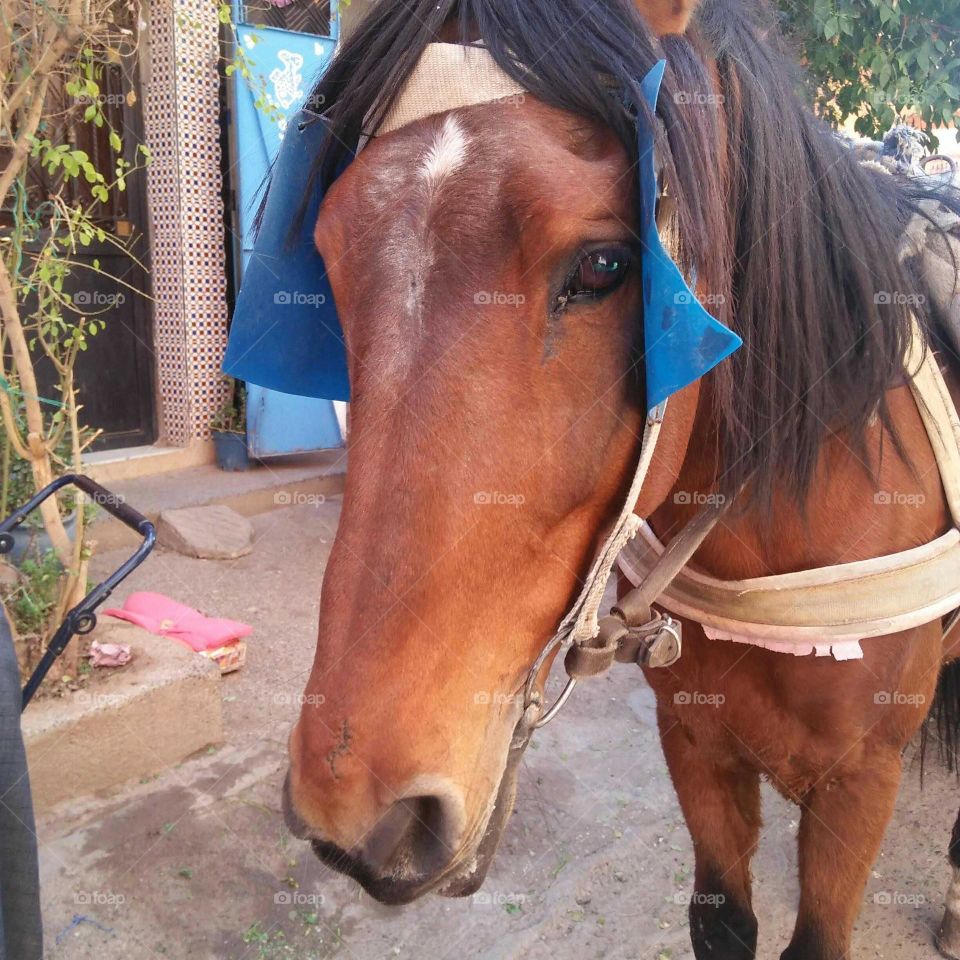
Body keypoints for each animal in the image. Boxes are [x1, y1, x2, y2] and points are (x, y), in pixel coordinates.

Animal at [278, 1, 960, 960]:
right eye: (329, 259)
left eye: (603, 265)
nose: (358, 810)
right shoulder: (696, 742)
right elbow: (721, 920)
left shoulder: (863, 780)